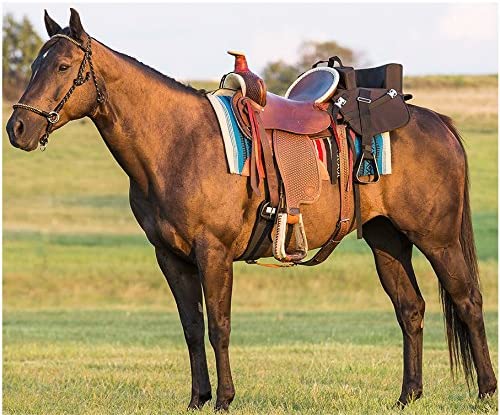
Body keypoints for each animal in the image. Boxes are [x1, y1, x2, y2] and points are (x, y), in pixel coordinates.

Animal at [6, 8, 496, 412]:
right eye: (32, 65)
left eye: (63, 66)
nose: (18, 127)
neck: (178, 143)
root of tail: (435, 121)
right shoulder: (171, 257)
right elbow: (191, 327)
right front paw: (198, 398)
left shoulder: (214, 253)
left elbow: (219, 326)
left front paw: (224, 399)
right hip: (386, 240)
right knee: (410, 309)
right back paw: (408, 396)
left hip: (438, 239)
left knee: (468, 301)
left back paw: (485, 392)